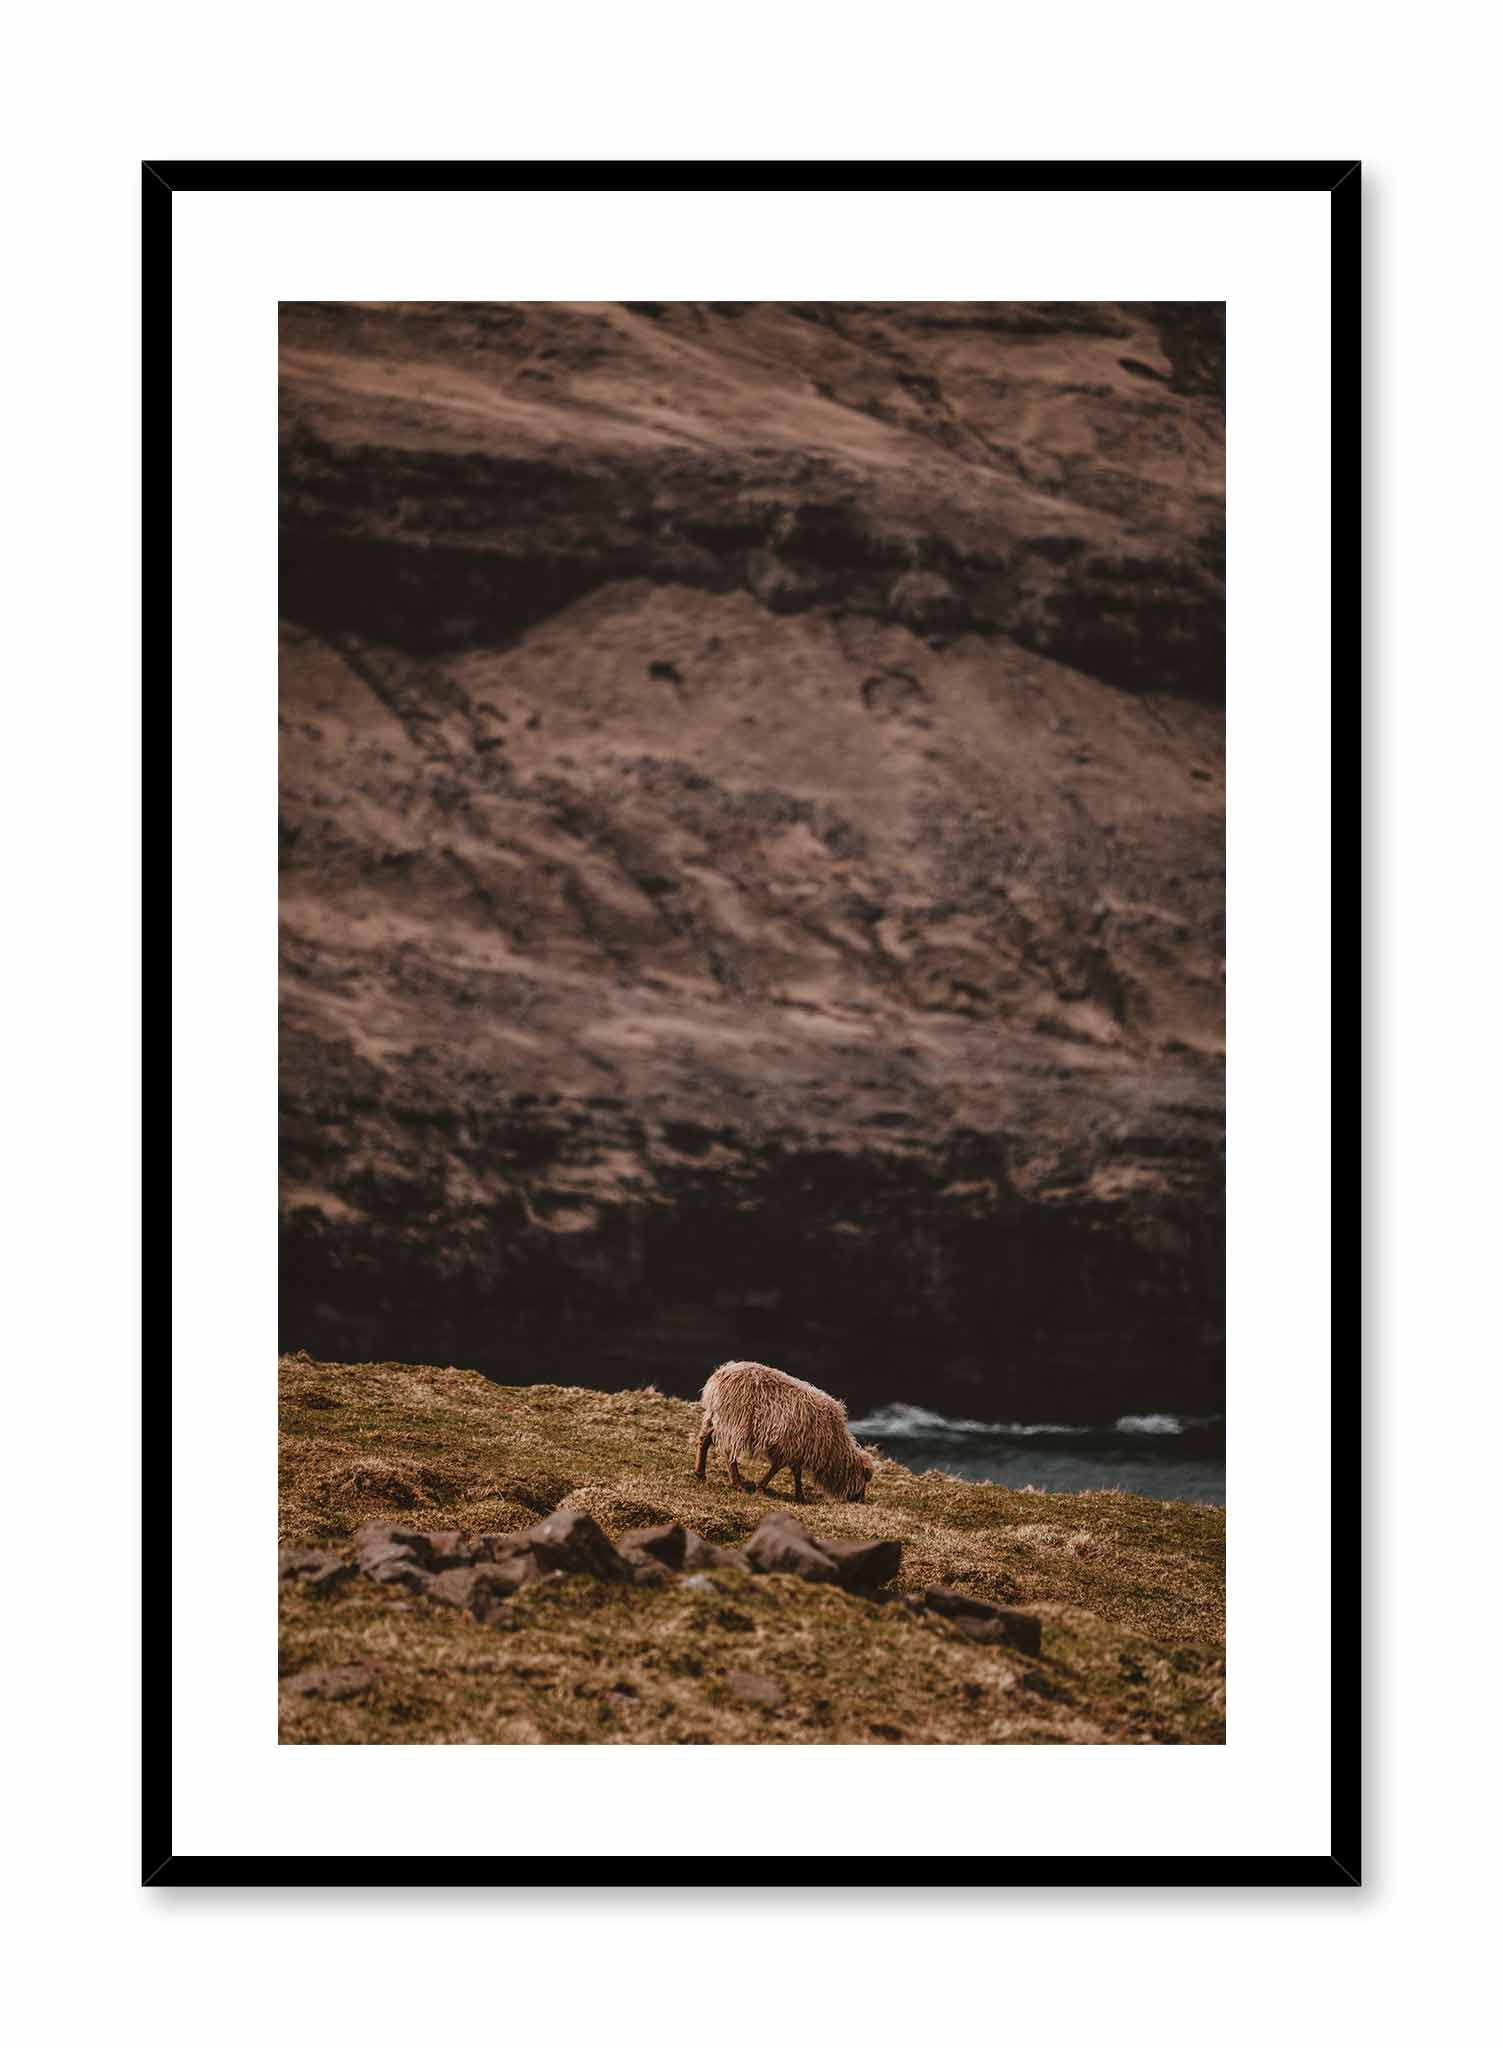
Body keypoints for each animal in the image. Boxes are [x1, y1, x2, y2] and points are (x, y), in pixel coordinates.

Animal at [692, 1359, 876, 1507]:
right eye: (864, 1478)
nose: (860, 1500)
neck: (834, 1446)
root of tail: (720, 1374)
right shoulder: (789, 1447)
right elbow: (778, 1468)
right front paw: (761, 1488)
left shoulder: (796, 1449)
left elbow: (796, 1472)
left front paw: (800, 1496)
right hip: (735, 1423)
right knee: (729, 1453)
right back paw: (737, 1484)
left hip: (715, 1417)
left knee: (704, 1439)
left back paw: (700, 1473)